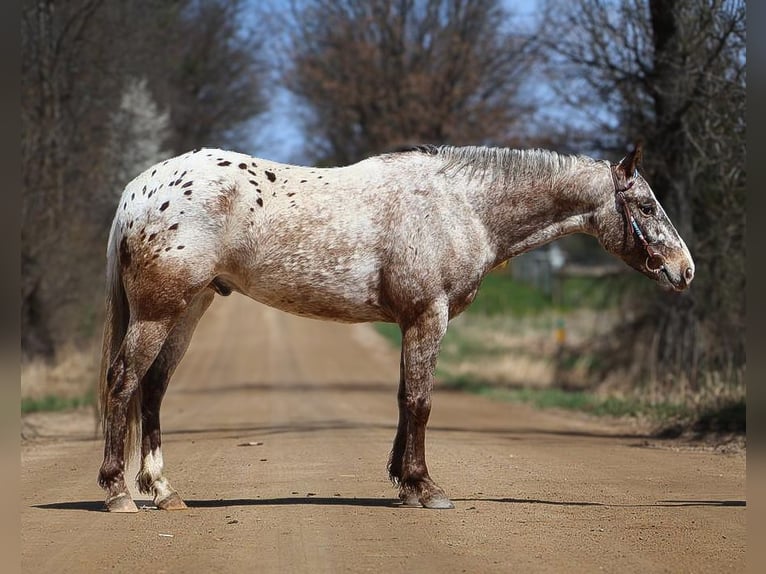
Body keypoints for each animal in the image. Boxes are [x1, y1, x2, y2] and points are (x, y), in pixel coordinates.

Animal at [97, 142, 694, 512]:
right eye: (646, 205)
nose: (684, 270)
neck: (461, 206)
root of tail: (137, 192)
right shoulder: (429, 315)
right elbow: (421, 401)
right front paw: (426, 488)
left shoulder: (411, 321)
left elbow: (406, 398)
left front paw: (405, 484)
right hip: (158, 313)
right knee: (123, 383)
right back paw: (119, 492)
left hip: (189, 308)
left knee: (153, 389)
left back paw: (164, 491)